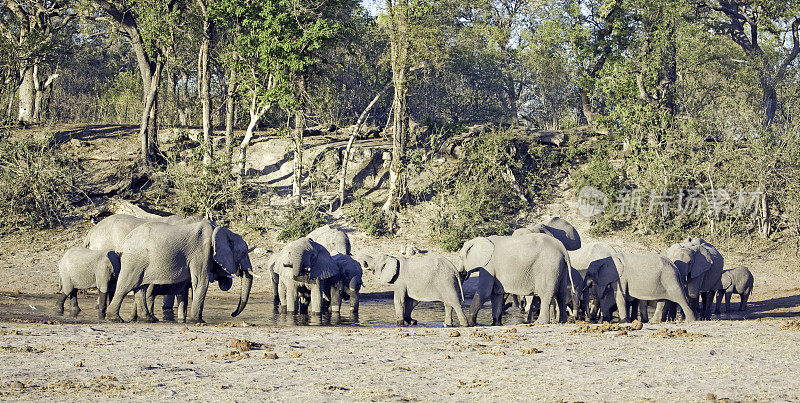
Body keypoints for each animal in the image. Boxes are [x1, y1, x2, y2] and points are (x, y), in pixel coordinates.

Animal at [104, 221, 252, 326]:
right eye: (244, 252)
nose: (232, 314)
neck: (219, 230)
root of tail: (123, 243)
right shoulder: (202, 252)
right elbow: (200, 282)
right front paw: (198, 322)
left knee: (141, 288)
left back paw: (148, 319)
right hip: (134, 260)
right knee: (125, 286)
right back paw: (115, 319)